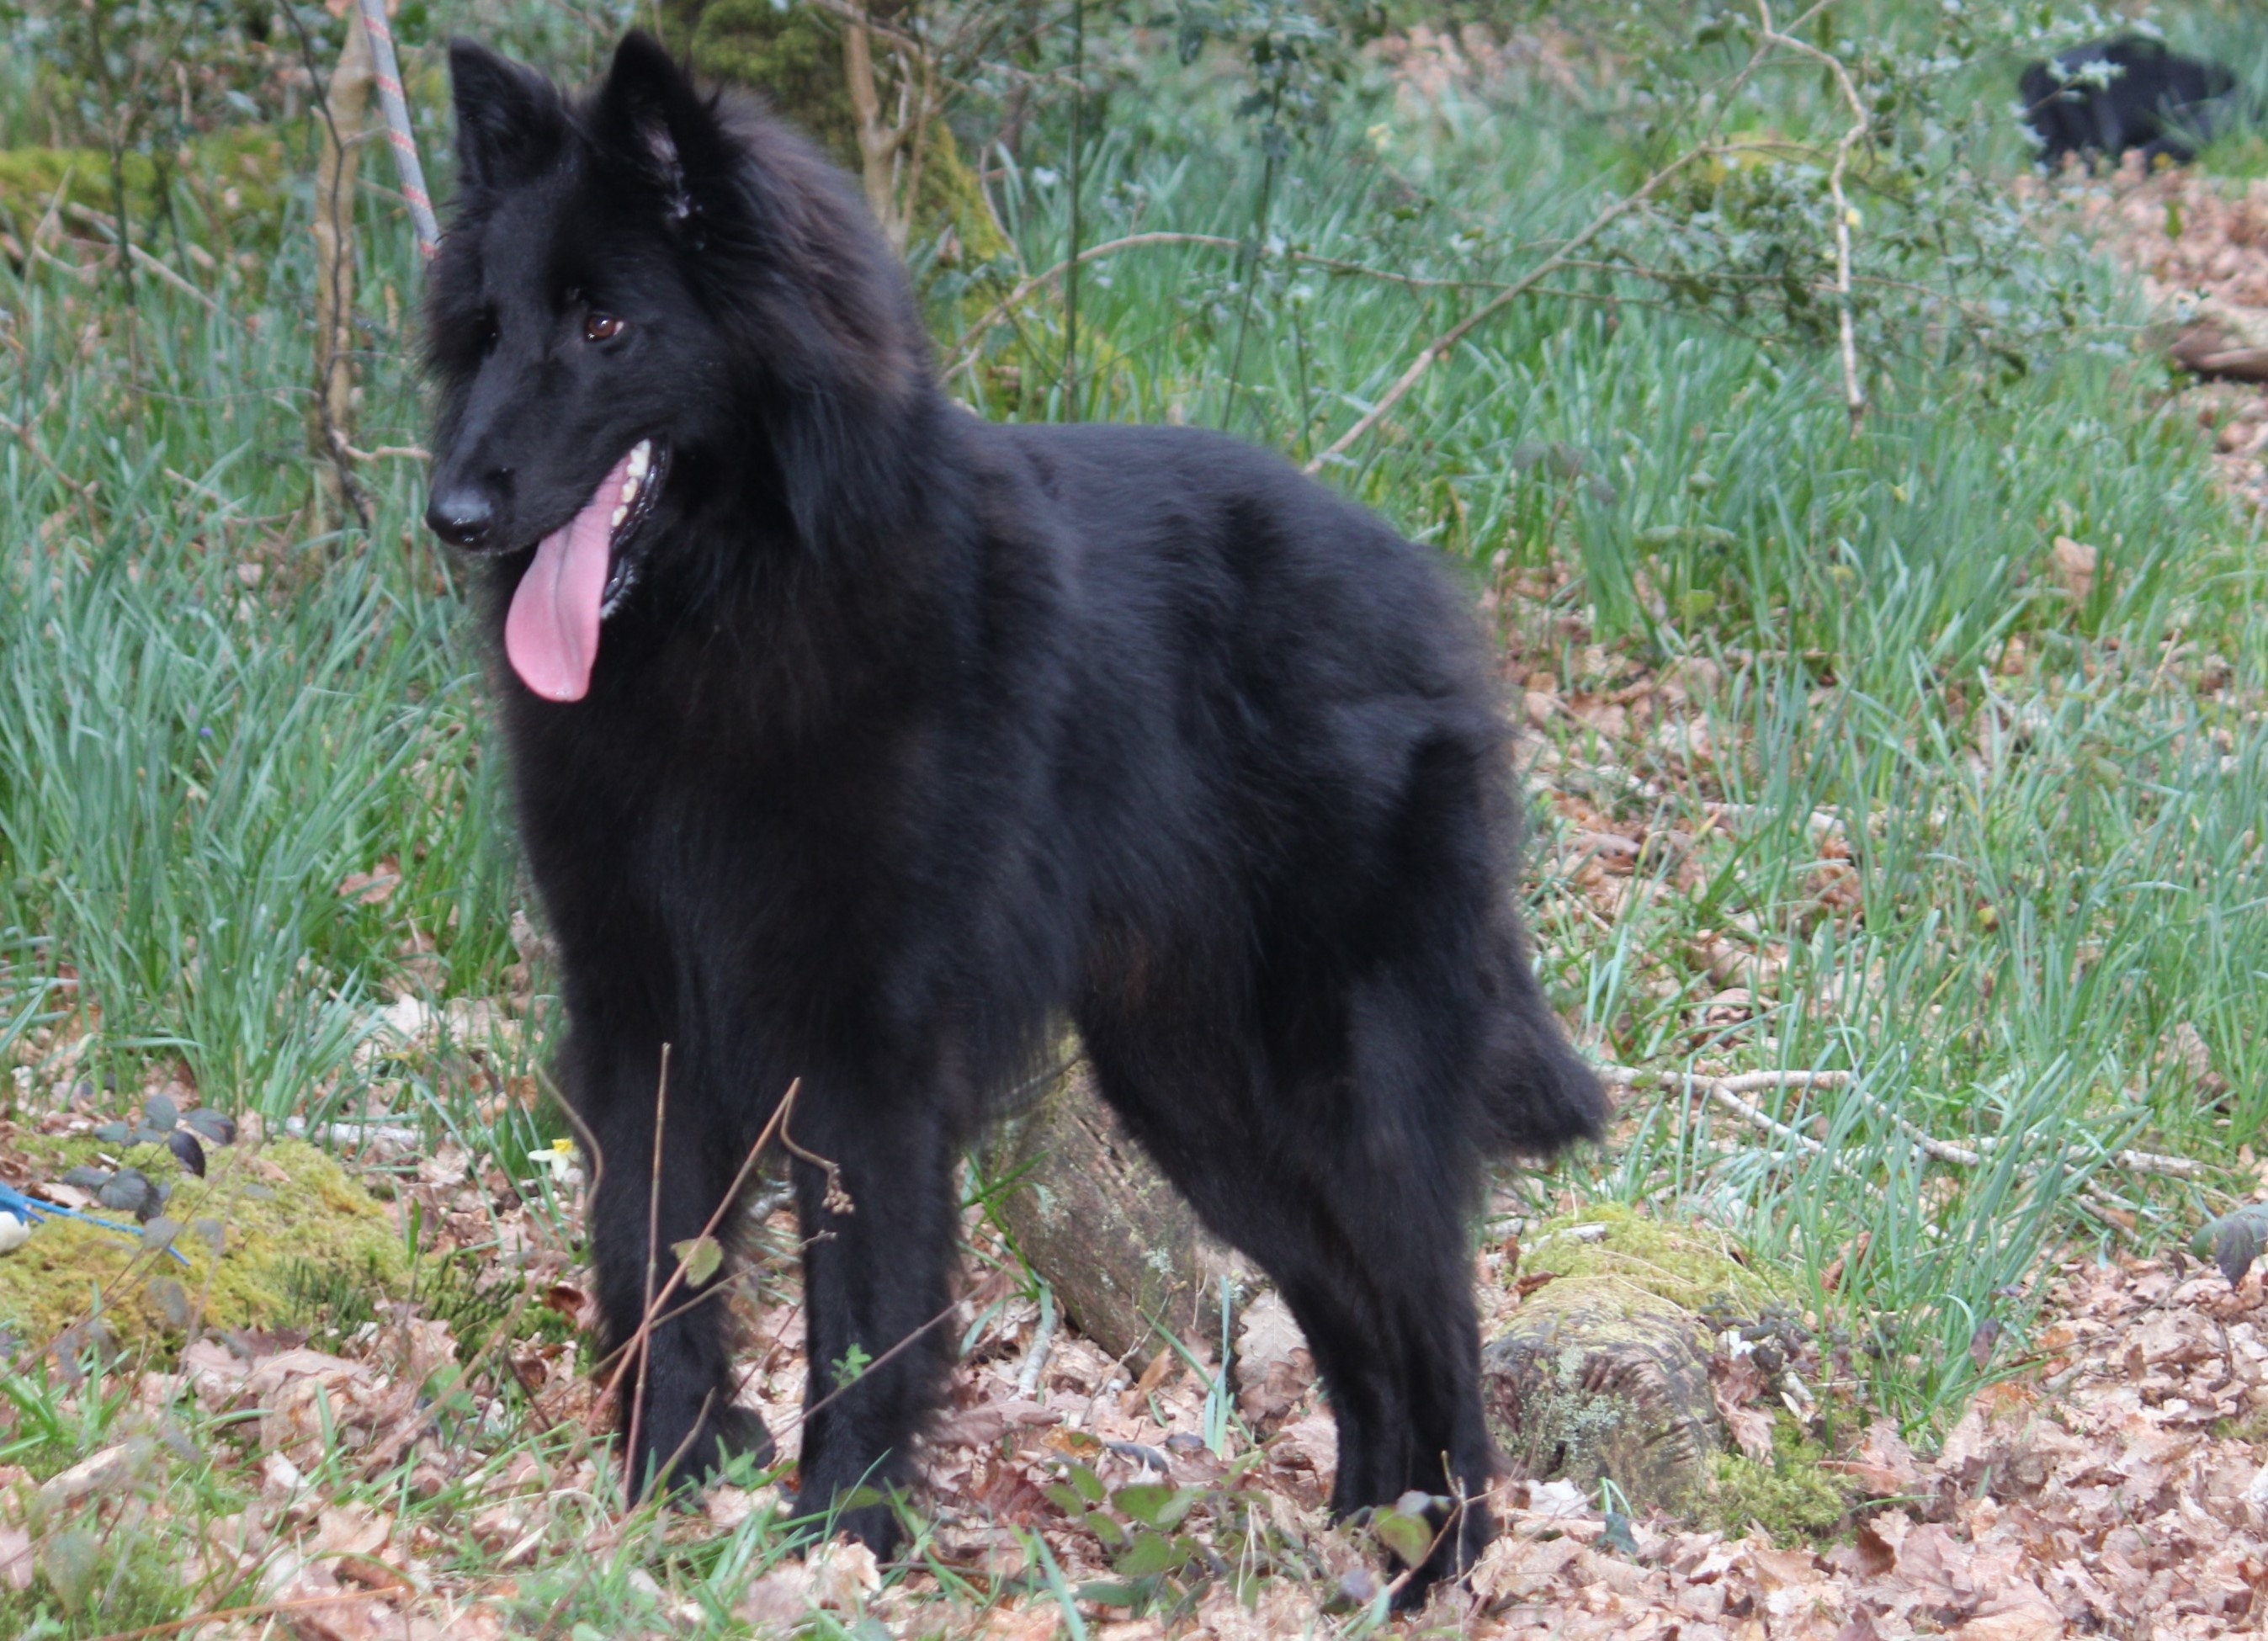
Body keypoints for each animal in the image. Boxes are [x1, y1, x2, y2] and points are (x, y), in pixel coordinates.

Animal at [422, 25, 1596, 1586]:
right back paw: (1363, 1535)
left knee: (1437, 1307)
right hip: (1200, 1098)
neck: (739, 611)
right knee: (1354, 1317)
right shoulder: (639, 1011)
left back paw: (1439, 1560)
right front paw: (662, 1488)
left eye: (605, 326)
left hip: (1336, 1080)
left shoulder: (865, 1049)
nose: (452, 512)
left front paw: (844, 1531)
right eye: (491, 330)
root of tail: (1416, 588)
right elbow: (652, 1251)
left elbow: (862, 1305)